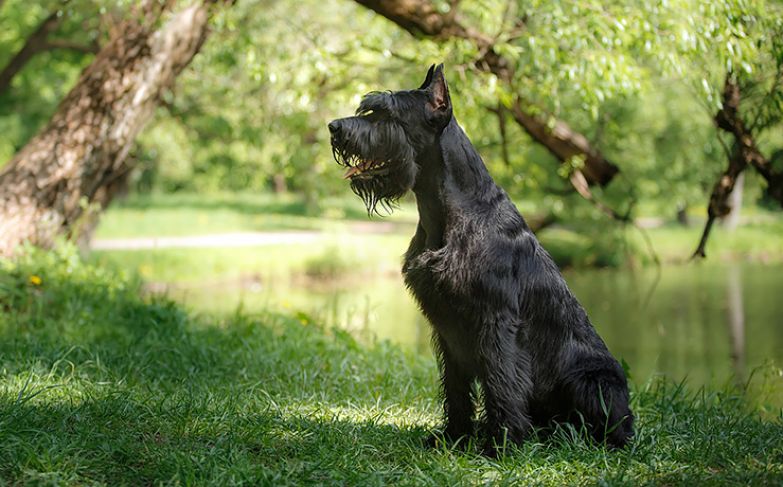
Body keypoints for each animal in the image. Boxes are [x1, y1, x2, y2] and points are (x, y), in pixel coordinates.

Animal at [328, 65, 632, 454]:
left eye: (386, 114)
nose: (334, 127)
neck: (447, 213)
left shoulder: (496, 319)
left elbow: (501, 382)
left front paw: (500, 443)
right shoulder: (446, 327)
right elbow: (456, 387)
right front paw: (454, 436)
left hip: (594, 381)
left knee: (613, 428)